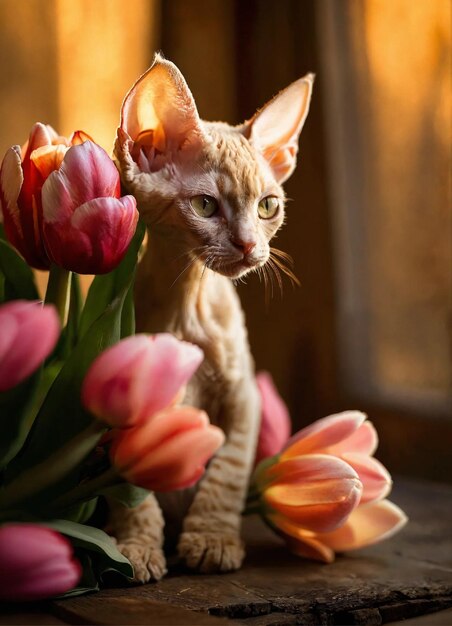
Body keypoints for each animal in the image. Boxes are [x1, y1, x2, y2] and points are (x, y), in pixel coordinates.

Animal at [110, 53, 314, 580]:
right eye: (205, 205)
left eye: (268, 206)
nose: (249, 245)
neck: (189, 305)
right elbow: (132, 488)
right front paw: (135, 547)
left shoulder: (244, 395)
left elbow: (228, 470)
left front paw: (212, 538)